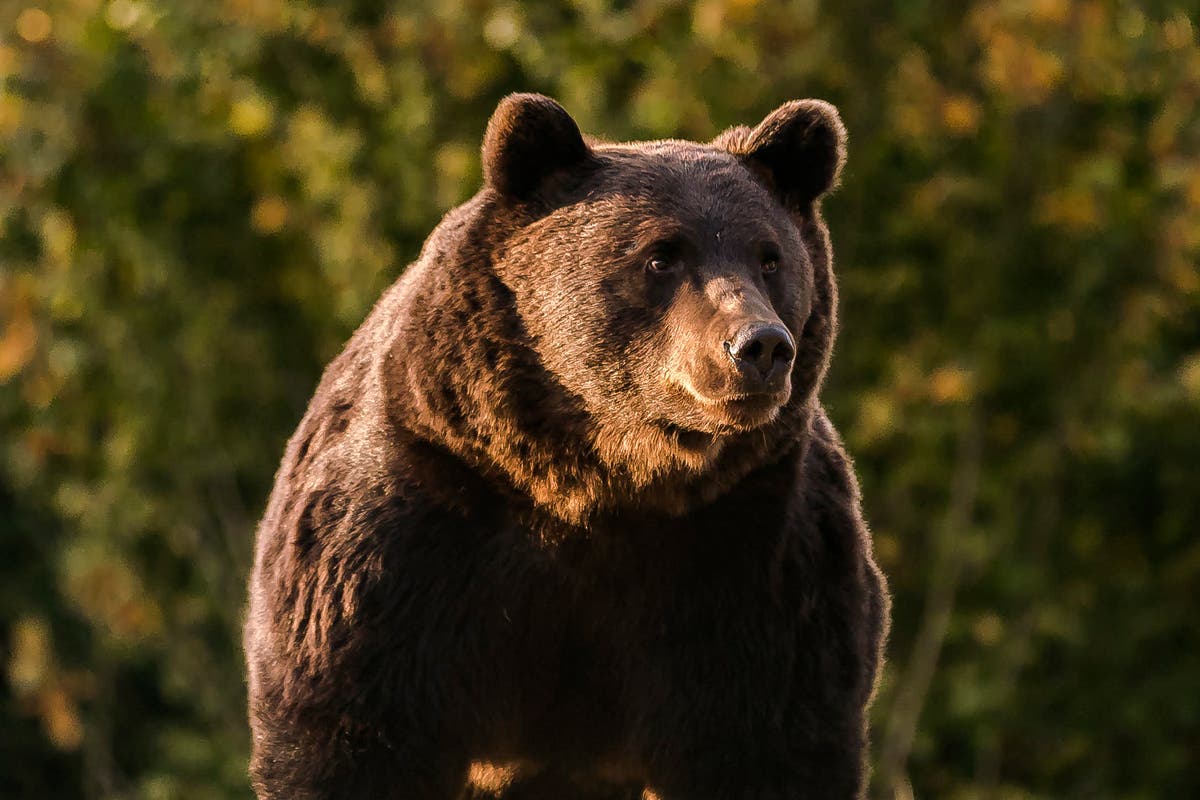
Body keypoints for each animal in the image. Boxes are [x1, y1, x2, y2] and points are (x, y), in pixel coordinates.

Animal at [244, 93, 889, 800]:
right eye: (661, 256)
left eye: (770, 258)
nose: (761, 346)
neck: (596, 481)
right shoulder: (411, 532)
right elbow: (352, 728)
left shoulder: (754, 556)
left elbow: (766, 739)